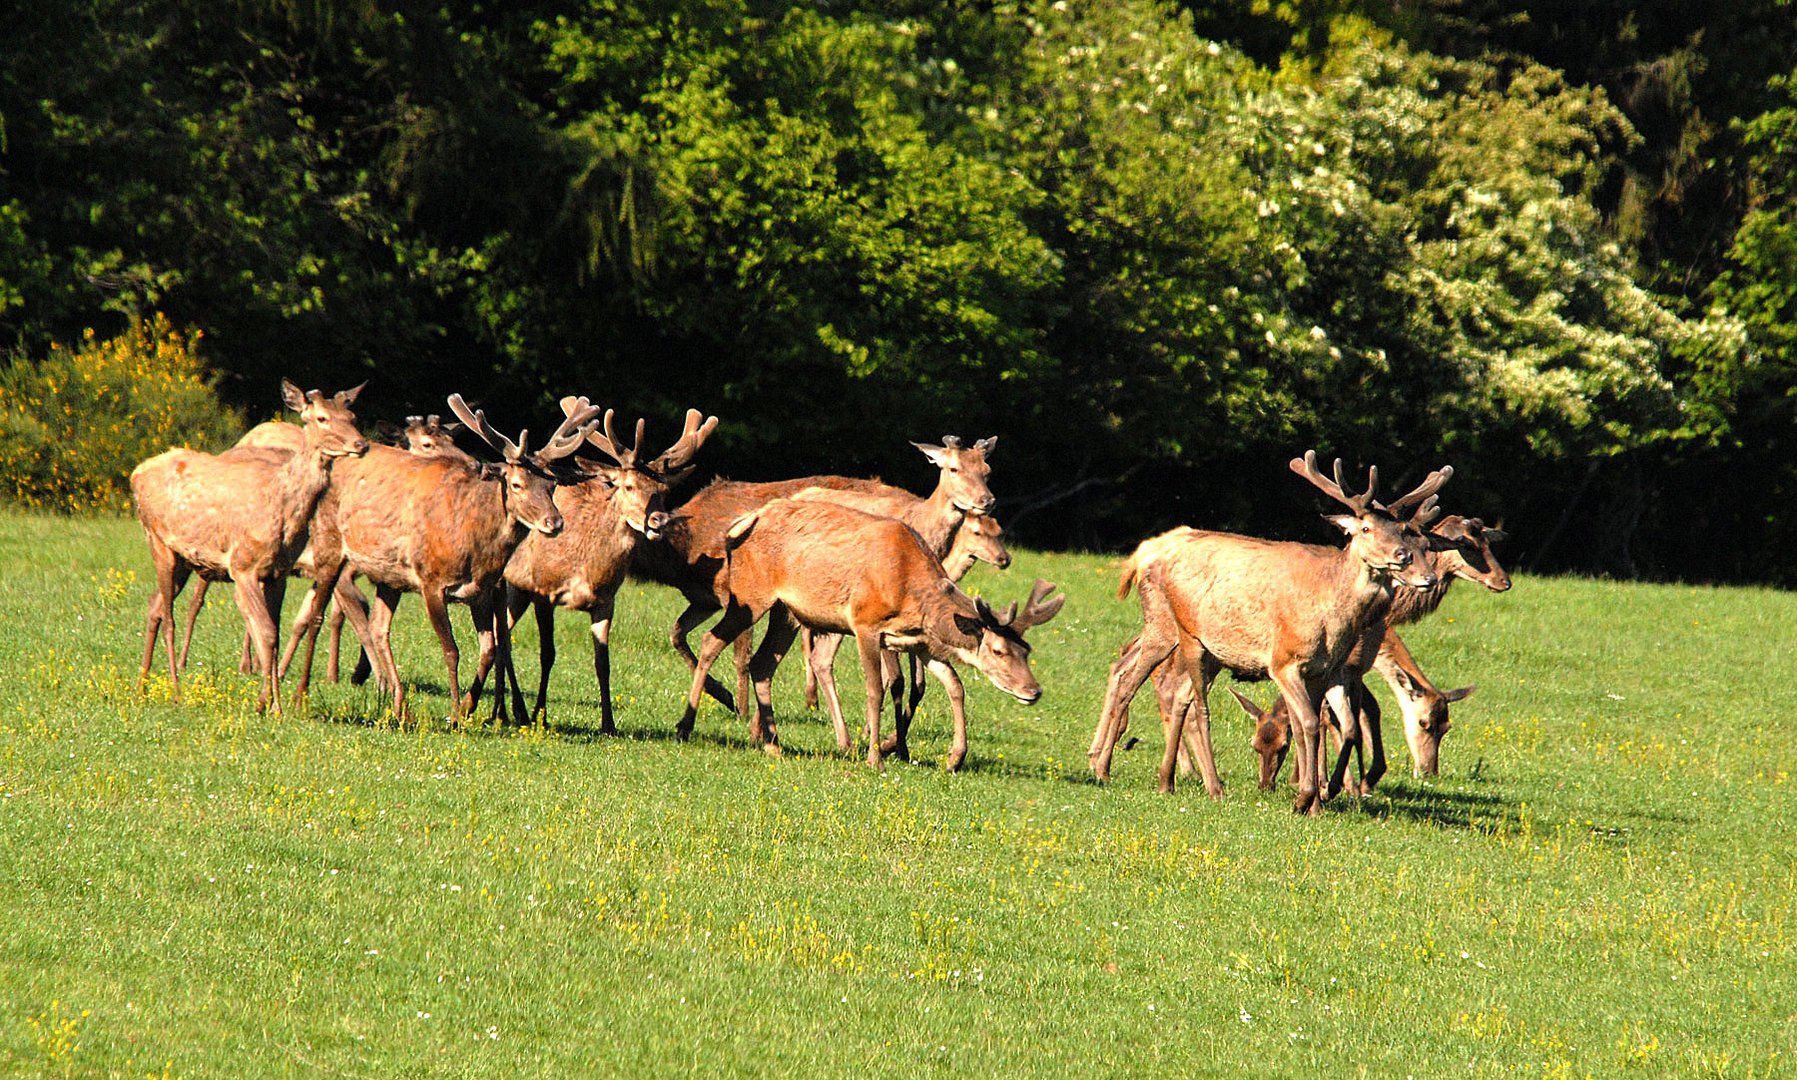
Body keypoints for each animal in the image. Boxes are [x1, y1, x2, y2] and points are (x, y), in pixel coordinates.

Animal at [131, 375, 368, 711]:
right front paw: (271, 706)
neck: (282, 509)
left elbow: (276, 634)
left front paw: (270, 701)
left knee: (154, 608)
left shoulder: (277, 573)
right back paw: (175, 689)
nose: (361, 444)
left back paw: (142, 685)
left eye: (352, 417)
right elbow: (266, 633)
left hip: (185, 559)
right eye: (321, 418)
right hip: (158, 540)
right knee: (168, 617)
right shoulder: (243, 565)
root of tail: (135, 474)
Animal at [280, 391, 600, 718]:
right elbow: (451, 650)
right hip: (330, 545)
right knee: (317, 615)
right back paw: (301, 696)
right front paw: (455, 713)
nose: (555, 522)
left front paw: (469, 707)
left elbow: (489, 649)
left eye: (552, 485)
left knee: (379, 626)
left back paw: (401, 707)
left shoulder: (481, 591)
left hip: (390, 576)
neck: (477, 548)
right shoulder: (431, 580)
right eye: (516, 484)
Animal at [499, 404, 715, 733]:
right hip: (512, 584)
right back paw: (515, 711)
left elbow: (604, 663)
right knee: (502, 637)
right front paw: (540, 716)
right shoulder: (542, 590)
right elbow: (547, 654)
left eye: (663, 490)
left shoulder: (605, 601)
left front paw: (608, 723)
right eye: (628, 485)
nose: (659, 521)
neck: (585, 565)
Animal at [679, 495, 1056, 765]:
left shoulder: (921, 644)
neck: (913, 598)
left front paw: (954, 758)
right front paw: (876, 756)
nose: (1034, 690)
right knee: (712, 640)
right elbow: (876, 688)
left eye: (1027, 650)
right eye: (998, 650)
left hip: (787, 611)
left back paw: (774, 744)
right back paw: (686, 726)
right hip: (750, 595)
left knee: (762, 664)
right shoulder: (865, 623)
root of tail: (744, 522)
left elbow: (955, 686)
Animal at [1085, 451, 1451, 812]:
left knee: (1175, 694)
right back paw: (1180, 781)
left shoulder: (1324, 670)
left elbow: (1315, 727)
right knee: (1174, 695)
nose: (1404, 557)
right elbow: (1309, 723)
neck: (1333, 618)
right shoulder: (1284, 661)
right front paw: (1307, 797)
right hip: (1182, 633)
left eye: (1402, 530)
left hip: (1213, 652)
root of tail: (1141, 553)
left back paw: (1166, 781)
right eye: (1365, 528)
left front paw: (1315, 801)